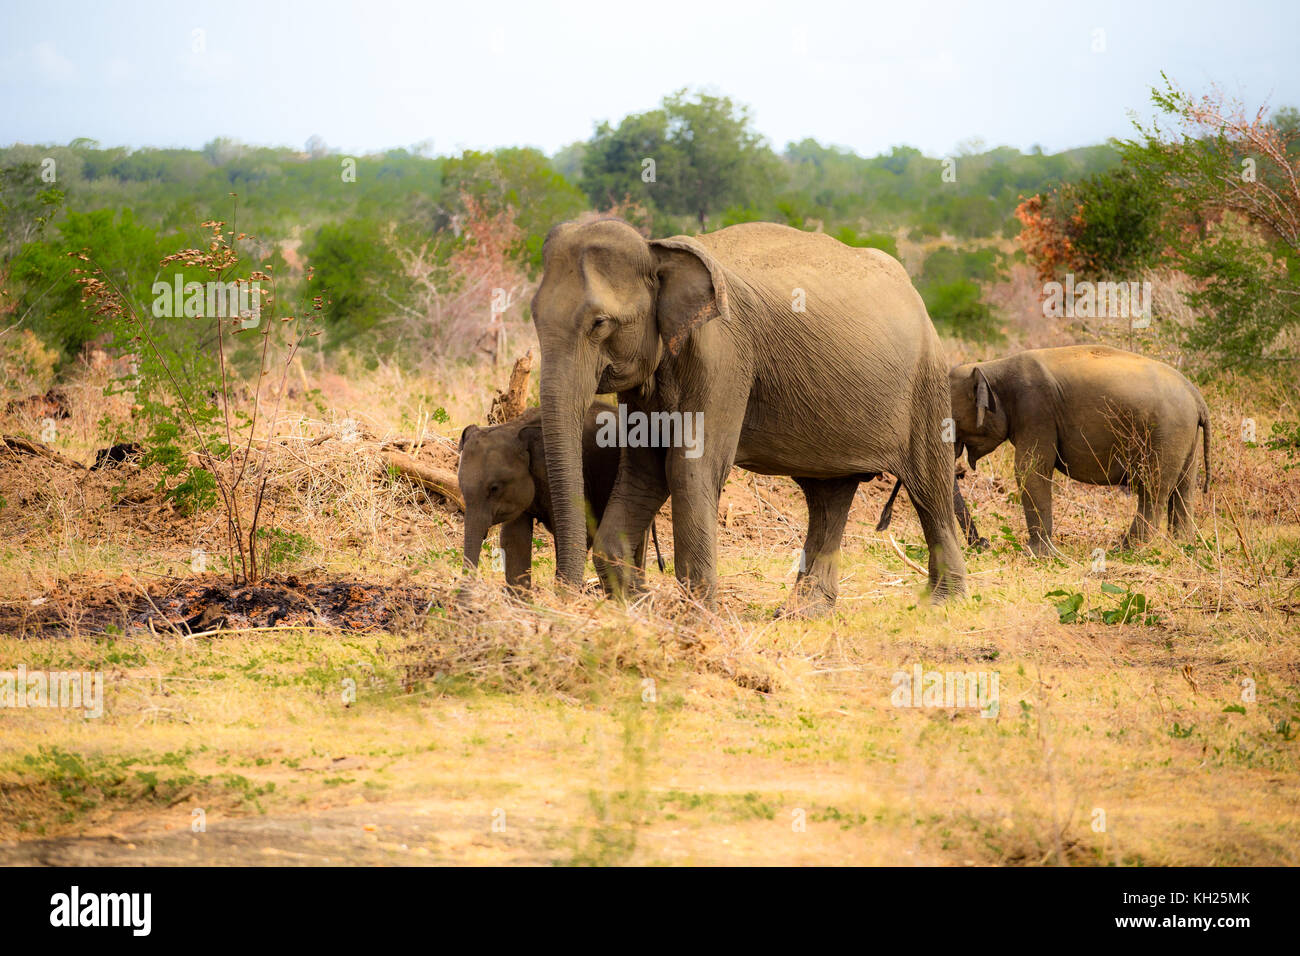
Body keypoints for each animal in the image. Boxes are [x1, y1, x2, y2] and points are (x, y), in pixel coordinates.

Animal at [530, 218, 966, 611]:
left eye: (600, 323)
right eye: (533, 315)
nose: (563, 601)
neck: (656, 249)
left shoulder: (723, 354)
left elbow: (689, 467)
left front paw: (697, 621)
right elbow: (644, 468)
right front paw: (641, 607)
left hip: (926, 382)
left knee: (930, 486)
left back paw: (941, 603)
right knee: (828, 496)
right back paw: (804, 612)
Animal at [945, 345, 1211, 556]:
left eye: (950, 423)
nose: (982, 543)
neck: (993, 367)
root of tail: (1197, 396)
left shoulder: (1036, 410)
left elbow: (1029, 469)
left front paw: (1036, 554)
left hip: (1165, 433)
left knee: (1152, 489)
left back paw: (1127, 551)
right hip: (1185, 437)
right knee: (1184, 489)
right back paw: (1180, 546)